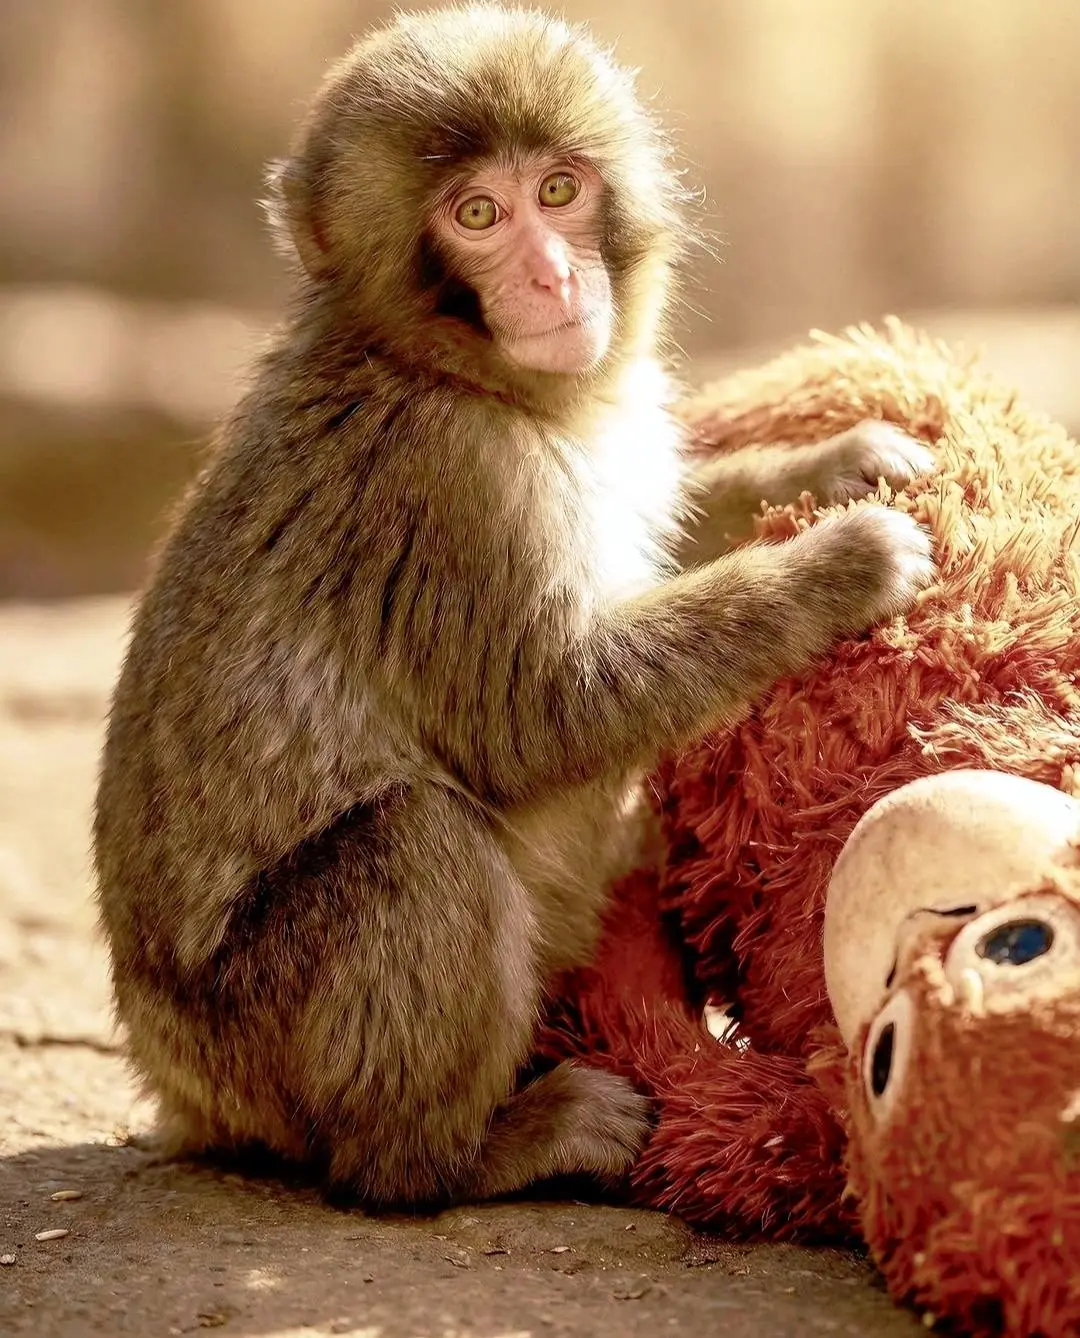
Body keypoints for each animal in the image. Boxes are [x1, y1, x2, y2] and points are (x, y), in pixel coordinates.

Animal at [93, 5, 934, 1209]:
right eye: (478, 215)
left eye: (559, 191)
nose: (548, 276)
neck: (462, 374)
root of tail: (177, 1085)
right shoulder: (444, 480)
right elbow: (537, 715)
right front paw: (842, 563)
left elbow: (661, 522)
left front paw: (839, 462)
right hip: (260, 1042)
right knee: (415, 838)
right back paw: (459, 1152)